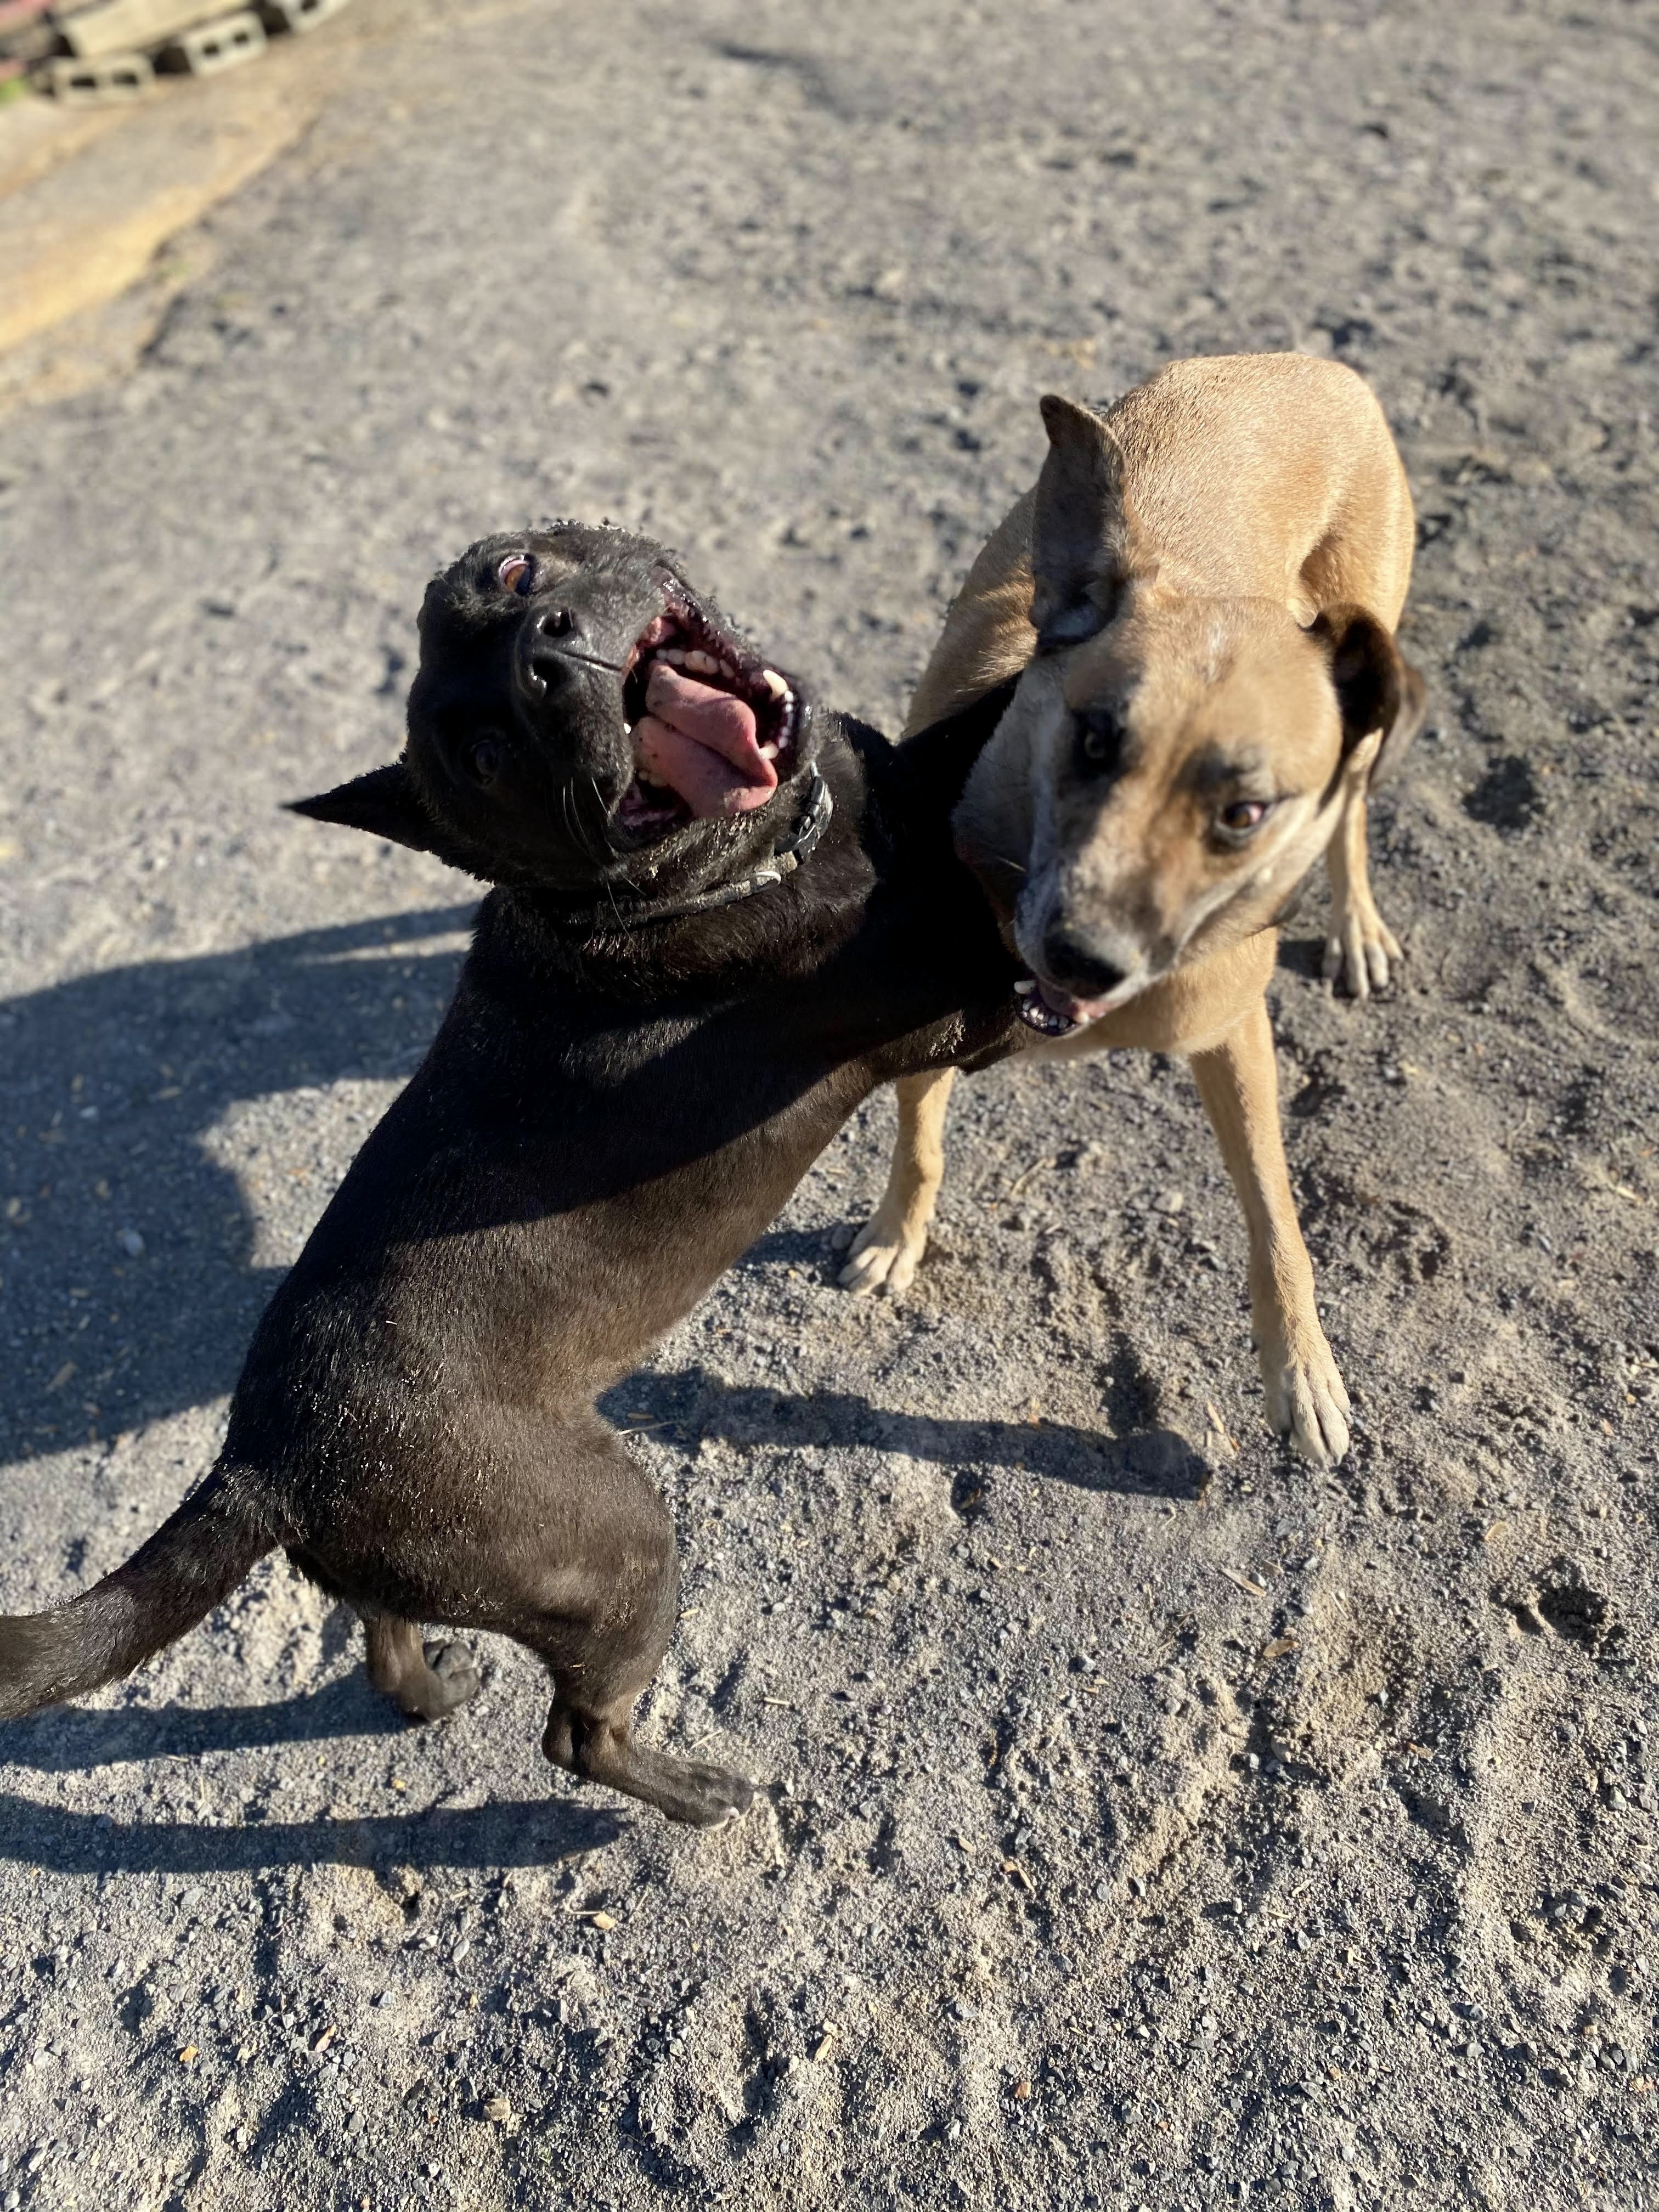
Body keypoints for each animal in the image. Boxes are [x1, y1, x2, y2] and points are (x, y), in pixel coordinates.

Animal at [0, 526, 1026, 1822]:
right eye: (487, 757)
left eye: (514, 572)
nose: (547, 651)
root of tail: (266, 1463)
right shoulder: (964, 1010)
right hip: (618, 1543)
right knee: (579, 1734)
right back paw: (690, 1796)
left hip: (444, 1567)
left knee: (385, 1633)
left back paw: (433, 1690)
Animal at [845, 354, 1433, 1460]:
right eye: (1091, 739)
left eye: (1242, 812)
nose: (1080, 957)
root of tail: (1310, 363)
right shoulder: (915, 1018)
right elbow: (920, 1136)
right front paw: (894, 1237)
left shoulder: (1233, 1034)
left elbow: (1274, 1214)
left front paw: (1303, 1372)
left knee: (1352, 808)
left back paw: (1356, 926)